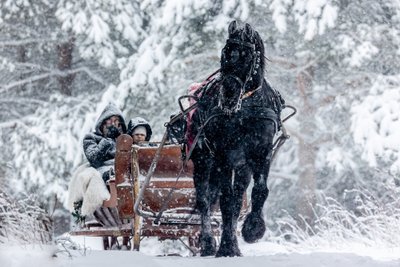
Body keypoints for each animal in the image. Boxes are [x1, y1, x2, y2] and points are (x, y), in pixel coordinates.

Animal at [188, 21, 284, 258]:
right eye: (225, 52)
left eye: (247, 56)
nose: (229, 95)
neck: (246, 107)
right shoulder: (224, 156)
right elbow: (226, 200)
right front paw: (225, 247)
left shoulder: (261, 152)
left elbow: (259, 191)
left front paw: (253, 229)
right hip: (203, 160)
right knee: (204, 199)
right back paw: (207, 243)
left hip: (242, 166)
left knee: (237, 195)